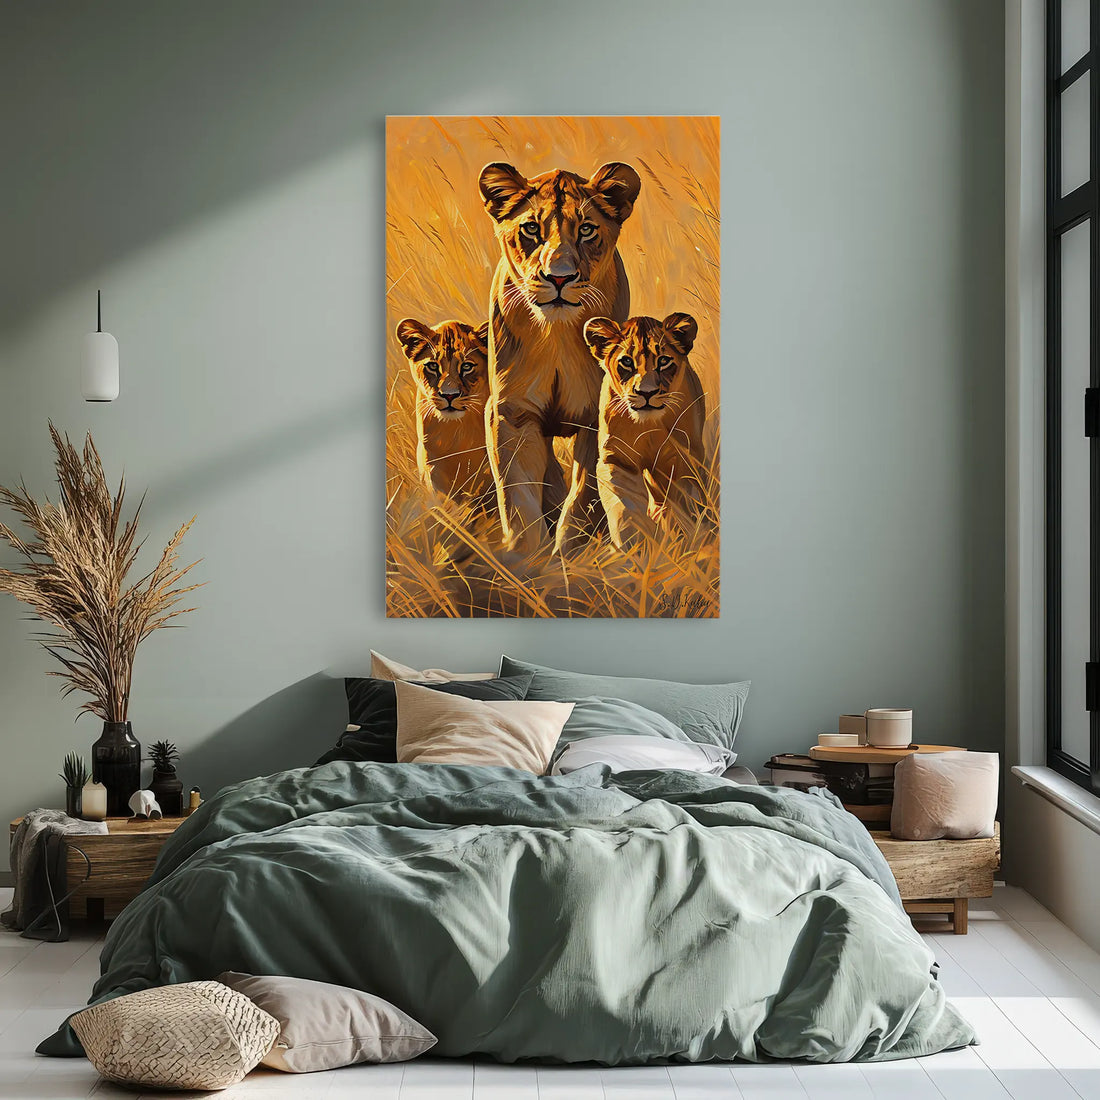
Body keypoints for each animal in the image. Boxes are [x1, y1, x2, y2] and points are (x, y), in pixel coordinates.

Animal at [477, 160, 642, 555]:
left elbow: (584, 495)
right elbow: (518, 494)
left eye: (586, 229)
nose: (559, 278)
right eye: (531, 229)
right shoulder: (511, 413)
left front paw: (570, 554)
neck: (557, 336)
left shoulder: (595, 418)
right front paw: (526, 558)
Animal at [582, 312, 707, 551]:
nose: (646, 393)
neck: (648, 426)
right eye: (626, 362)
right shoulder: (616, 457)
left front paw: (686, 539)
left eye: (664, 361)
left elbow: (681, 503)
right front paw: (634, 545)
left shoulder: (681, 459)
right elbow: (624, 506)